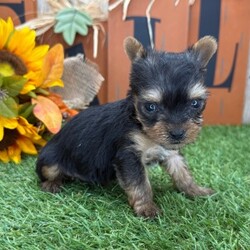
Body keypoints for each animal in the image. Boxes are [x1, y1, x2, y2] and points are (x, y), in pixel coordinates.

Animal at [36, 36, 218, 218]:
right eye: (150, 107)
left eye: (195, 103)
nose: (178, 133)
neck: (143, 128)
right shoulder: (128, 154)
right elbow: (139, 183)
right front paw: (146, 208)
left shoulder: (170, 152)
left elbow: (182, 172)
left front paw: (196, 190)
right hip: (51, 160)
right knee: (46, 173)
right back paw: (51, 184)